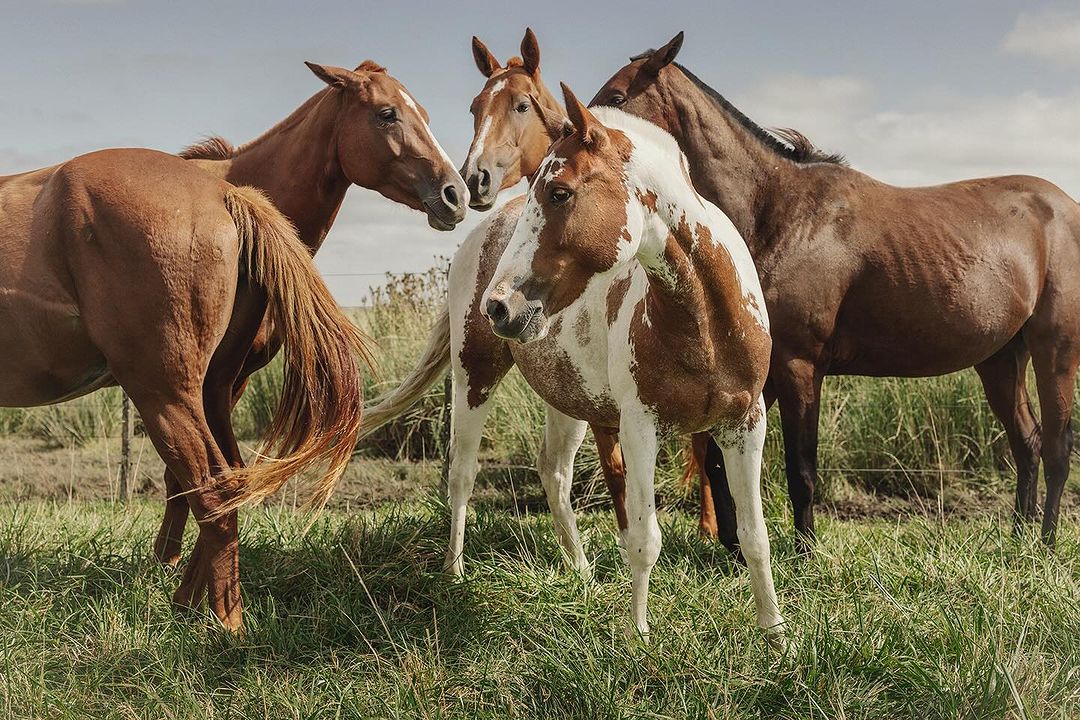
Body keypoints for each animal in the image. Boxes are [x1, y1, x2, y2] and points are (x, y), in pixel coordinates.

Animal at [0, 152, 370, 631]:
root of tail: (223, 194)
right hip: (212, 392)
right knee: (227, 485)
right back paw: (192, 603)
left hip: (165, 396)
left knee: (212, 492)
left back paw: (225, 625)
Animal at [149, 60, 468, 567]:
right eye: (386, 114)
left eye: (425, 114)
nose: (456, 194)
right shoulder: (204, 378)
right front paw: (171, 563)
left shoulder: (234, 376)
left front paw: (174, 560)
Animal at [479, 85, 783, 639]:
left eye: (559, 193)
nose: (499, 305)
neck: (706, 320)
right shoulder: (641, 427)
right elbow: (644, 540)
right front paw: (638, 634)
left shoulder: (746, 425)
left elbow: (754, 536)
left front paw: (775, 633)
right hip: (474, 374)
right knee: (461, 472)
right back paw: (454, 570)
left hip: (568, 404)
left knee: (554, 473)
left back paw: (582, 574)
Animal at [591, 32, 1080, 550]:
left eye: (617, 98)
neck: (778, 213)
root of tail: (1064, 206)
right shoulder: (762, 375)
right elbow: (720, 461)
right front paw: (734, 546)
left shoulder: (800, 367)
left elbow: (800, 469)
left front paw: (805, 551)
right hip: (1001, 358)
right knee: (1026, 442)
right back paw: (1021, 535)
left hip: (1055, 350)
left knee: (1056, 446)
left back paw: (1045, 541)